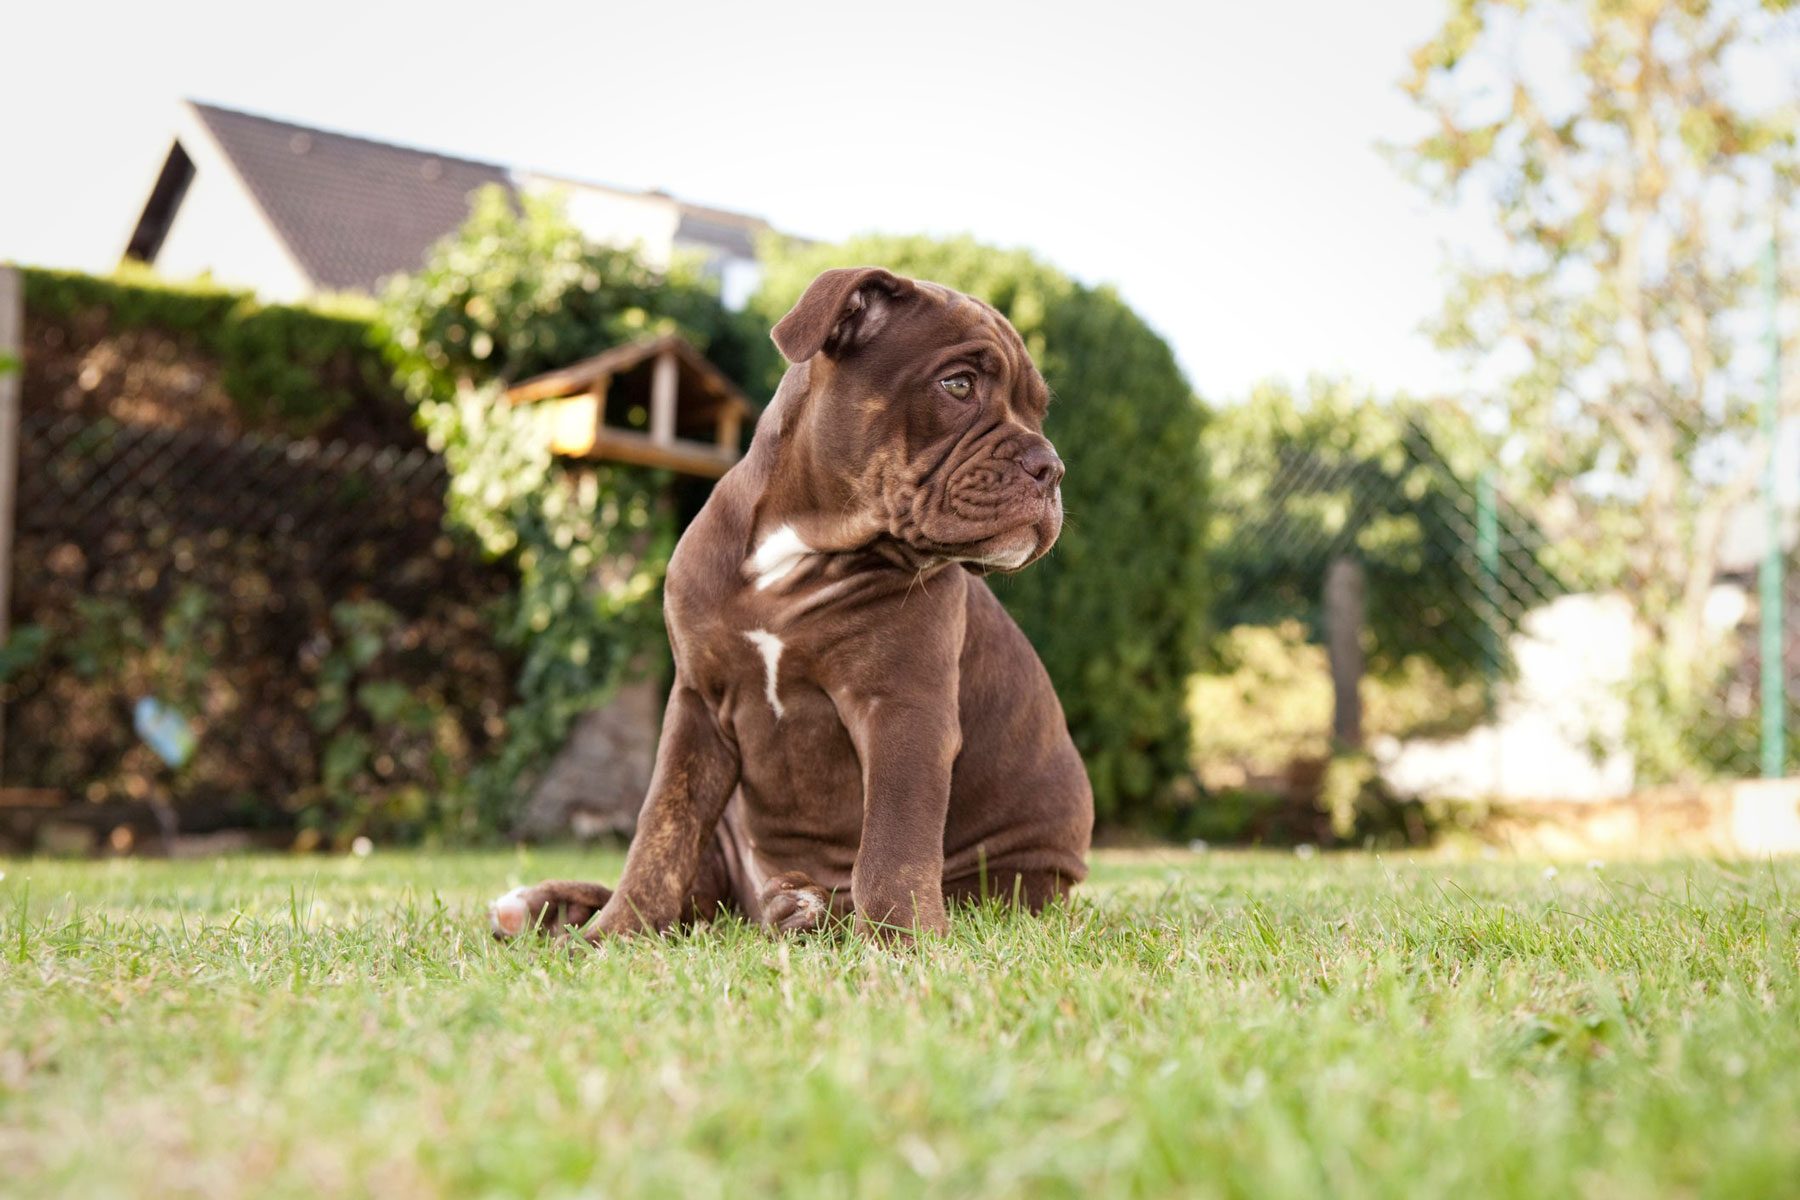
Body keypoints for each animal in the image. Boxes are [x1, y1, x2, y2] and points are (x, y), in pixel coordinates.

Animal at [486, 268, 1087, 942]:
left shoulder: (905, 710)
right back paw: (553, 908)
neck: (802, 547)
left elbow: (896, 839)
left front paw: (899, 938)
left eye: (1038, 411)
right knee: (698, 894)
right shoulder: (696, 706)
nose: (1051, 466)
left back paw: (805, 910)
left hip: (1014, 880)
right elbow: (661, 829)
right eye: (957, 385)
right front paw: (617, 932)